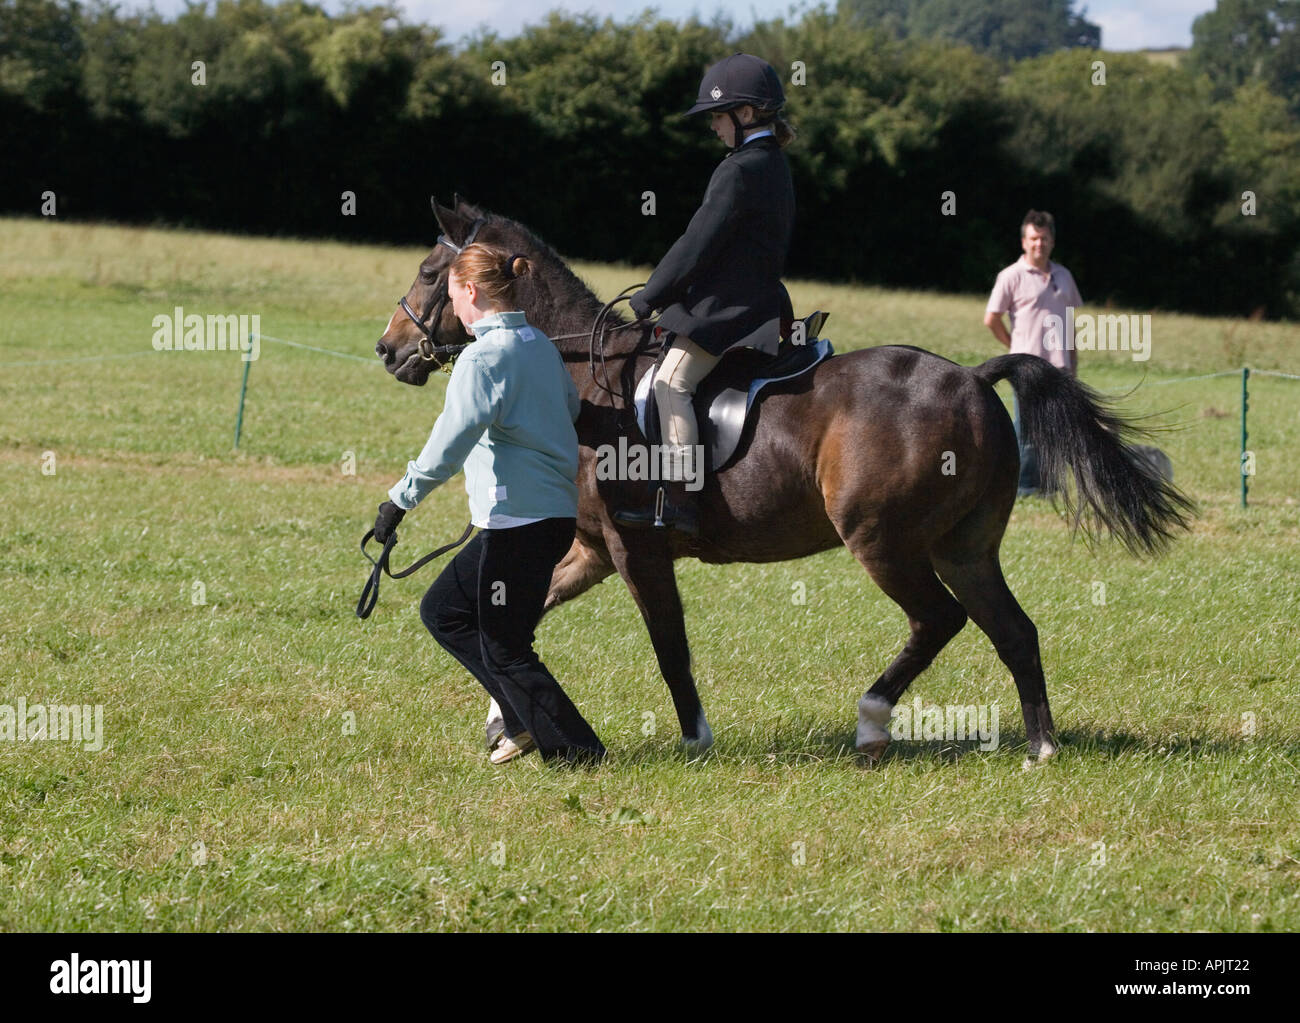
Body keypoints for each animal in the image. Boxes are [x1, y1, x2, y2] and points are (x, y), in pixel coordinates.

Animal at [373, 196, 1194, 764]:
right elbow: (528, 613)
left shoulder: (637, 551)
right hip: (964, 546)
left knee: (938, 620)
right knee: (1012, 629)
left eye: (429, 273)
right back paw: (1041, 747)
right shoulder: (593, 550)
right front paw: (504, 725)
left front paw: (695, 739)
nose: (387, 350)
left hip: (882, 540)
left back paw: (872, 722)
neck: (581, 374)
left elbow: (669, 645)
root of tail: (970, 375)